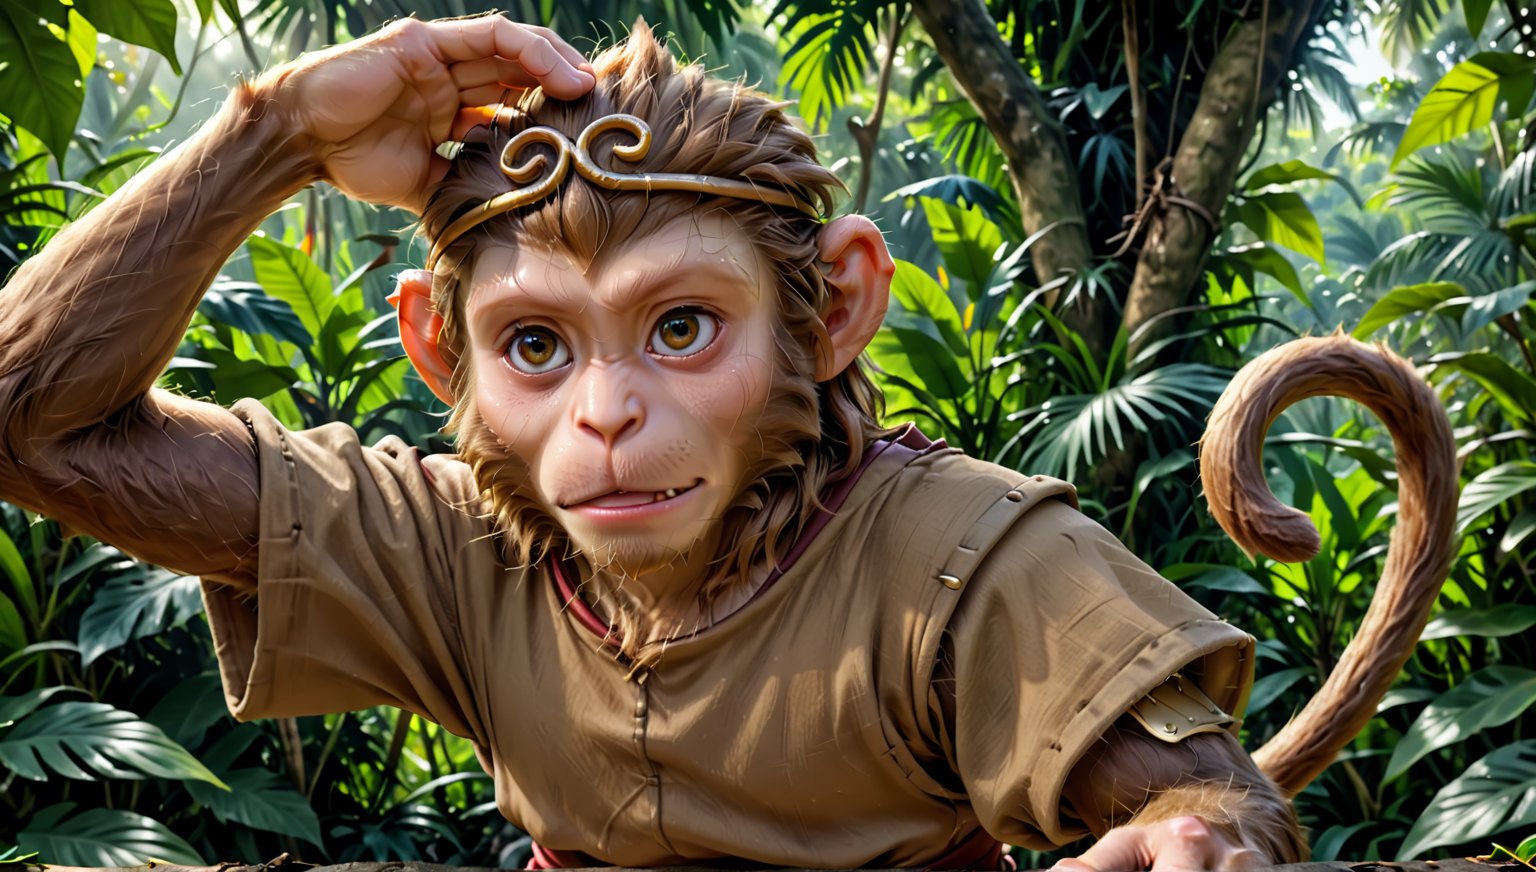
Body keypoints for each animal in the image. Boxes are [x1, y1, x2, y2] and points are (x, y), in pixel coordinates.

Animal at [0, 13, 1449, 872]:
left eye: (682, 328)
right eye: (538, 348)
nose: (607, 419)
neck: (697, 584)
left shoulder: (1012, 555)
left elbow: (1188, 787)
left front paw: (1185, 835)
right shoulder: (391, 509)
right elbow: (62, 435)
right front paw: (394, 85)